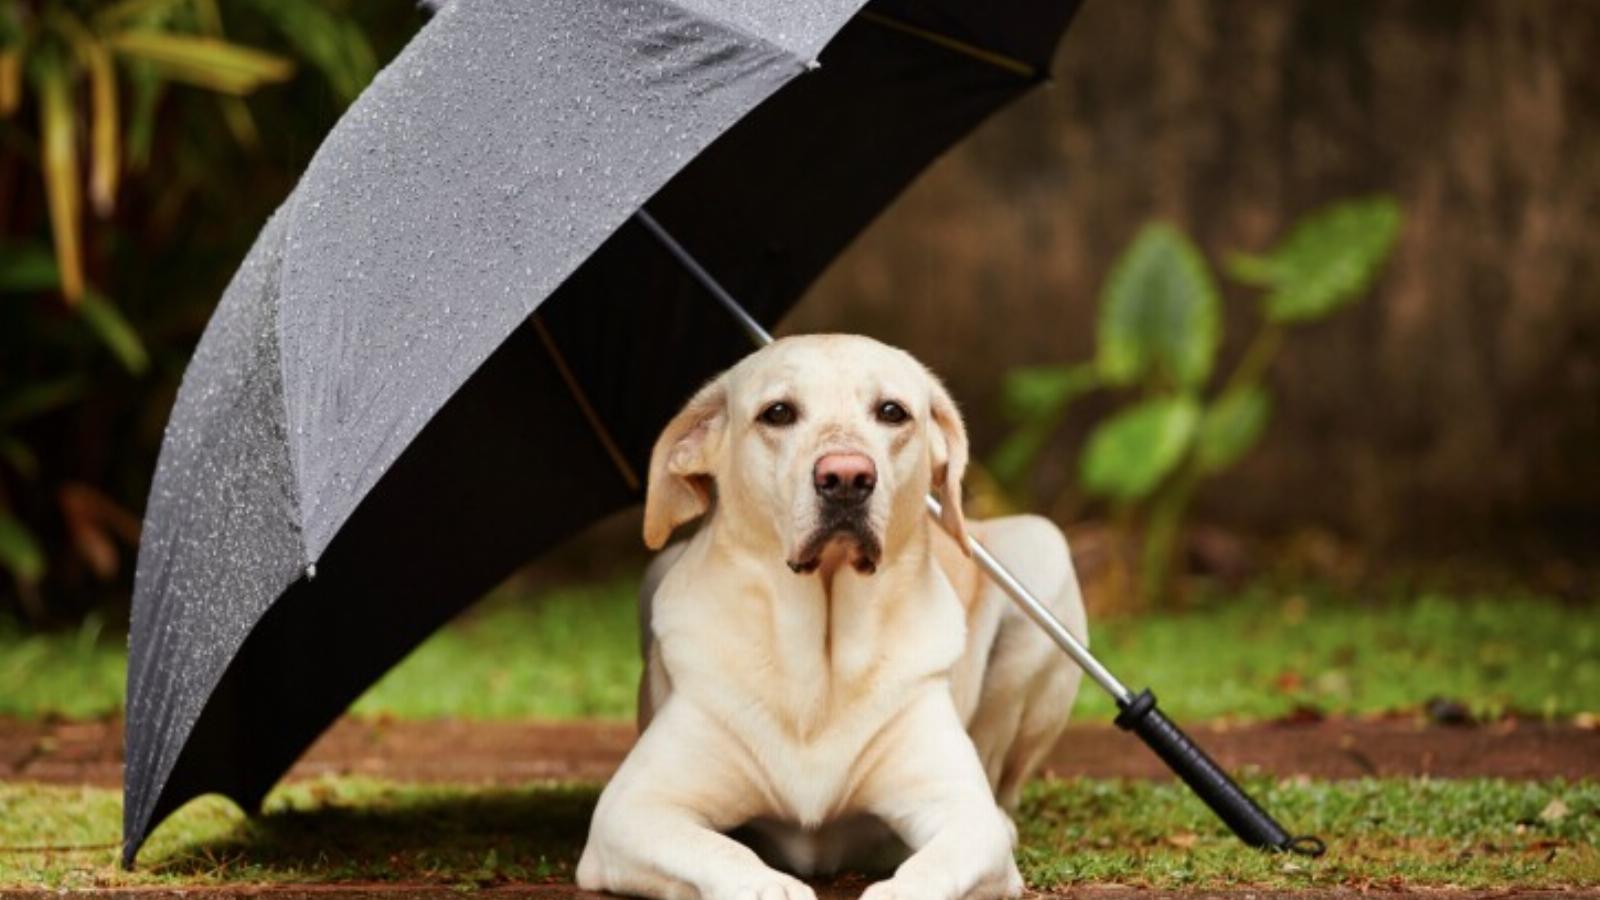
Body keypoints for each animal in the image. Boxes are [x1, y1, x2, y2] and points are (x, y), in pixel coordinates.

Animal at [576, 334, 1088, 896]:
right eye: (778, 413)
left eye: (892, 412)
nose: (846, 476)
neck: (820, 661)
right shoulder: (630, 810)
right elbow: (719, 849)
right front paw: (769, 884)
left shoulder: (962, 812)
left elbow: (937, 864)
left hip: (1045, 552)